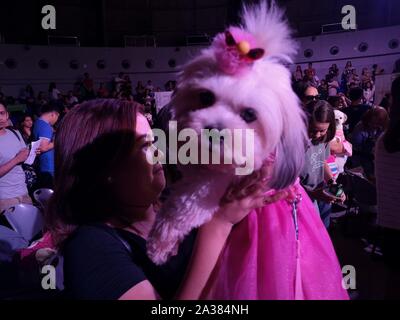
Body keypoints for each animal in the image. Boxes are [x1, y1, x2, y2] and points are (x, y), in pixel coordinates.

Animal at [148, 1, 308, 264]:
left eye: (250, 115)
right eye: (205, 97)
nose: (214, 130)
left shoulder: (213, 185)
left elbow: (181, 208)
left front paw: (160, 244)